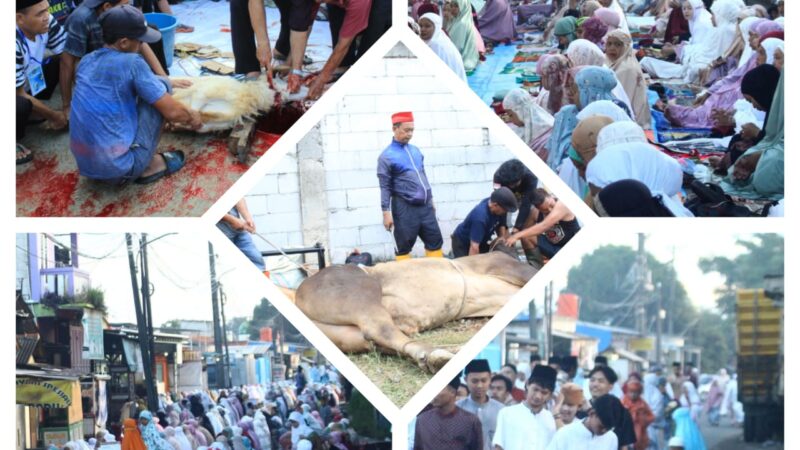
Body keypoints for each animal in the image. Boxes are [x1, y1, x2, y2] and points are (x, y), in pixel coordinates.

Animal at [290, 250, 536, 372]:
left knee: (381, 342)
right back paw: (438, 357)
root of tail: (300, 292)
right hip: (363, 294)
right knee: (380, 329)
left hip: (346, 335)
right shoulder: (506, 266)